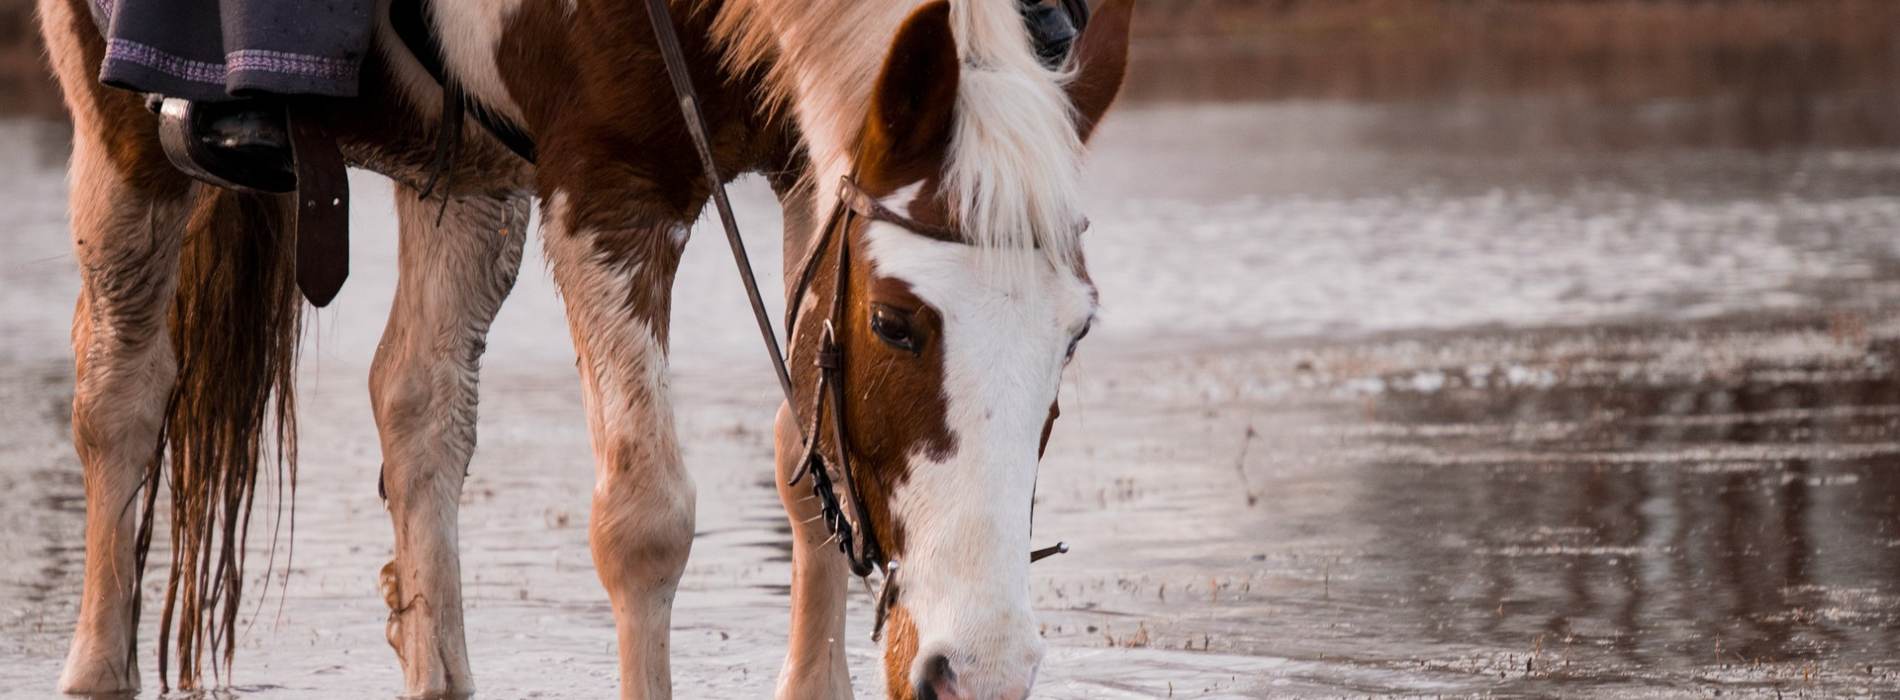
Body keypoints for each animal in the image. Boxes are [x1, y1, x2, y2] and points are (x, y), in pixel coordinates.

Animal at [37, 0, 1124, 696]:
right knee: (120, 398)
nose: (982, 671)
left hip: (463, 179)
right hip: (121, 128)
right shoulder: (608, 189)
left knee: (420, 404)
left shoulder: (804, 160)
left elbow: (808, 458)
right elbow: (644, 522)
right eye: (896, 322)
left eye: (1076, 333)